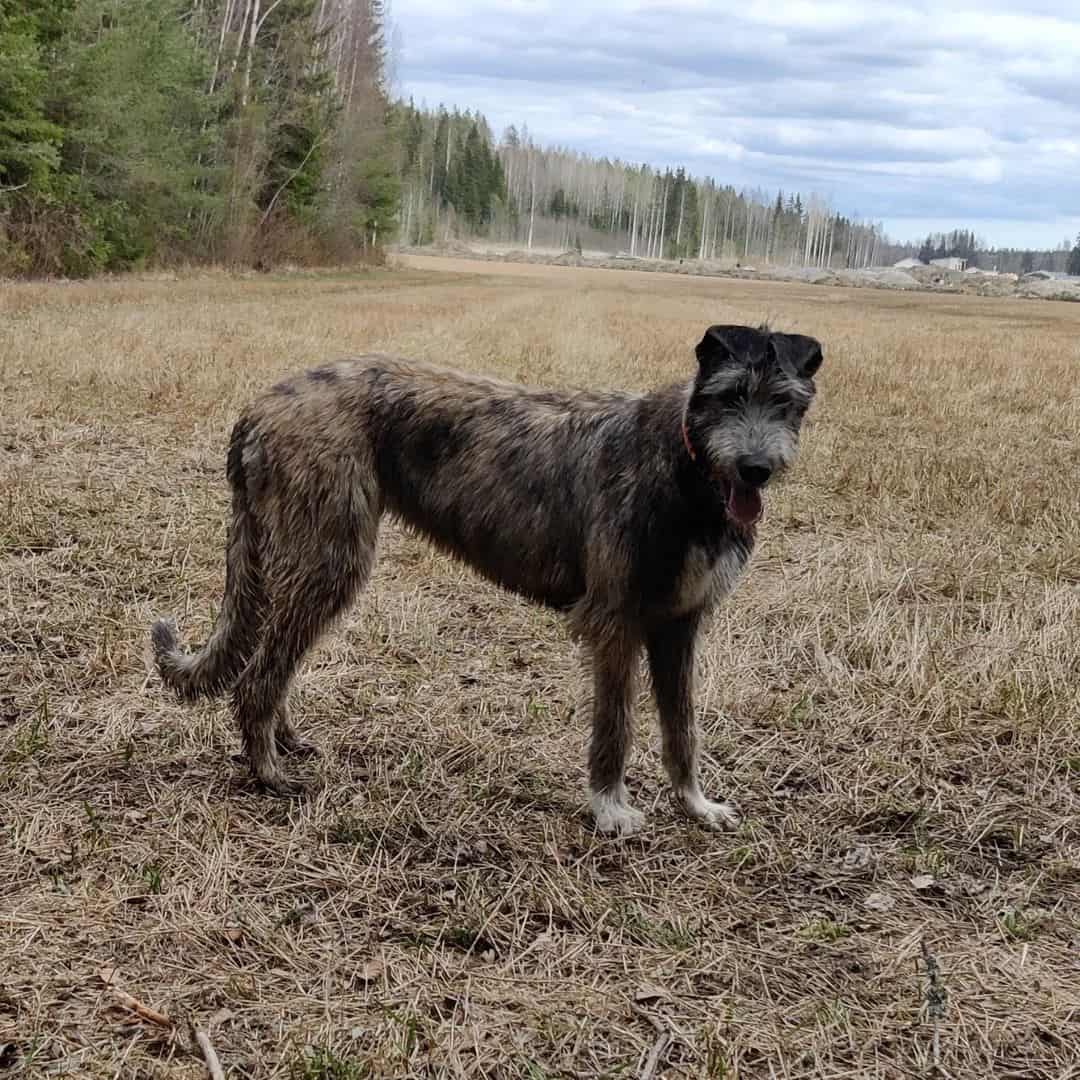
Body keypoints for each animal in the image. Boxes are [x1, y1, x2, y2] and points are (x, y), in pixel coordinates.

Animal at [152, 324, 820, 838]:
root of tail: (258, 407)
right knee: (259, 674)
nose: (755, 469)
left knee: (274, 659)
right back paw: (267, 771)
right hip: (327, 558)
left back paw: (283, 741)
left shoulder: (680, 624)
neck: (685, 468)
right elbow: (615, 725)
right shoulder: (614, 620)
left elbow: (683, 728)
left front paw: (696, 804)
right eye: (730, 395)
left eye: (786, 401)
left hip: (305, 559)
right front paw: (609, 809)